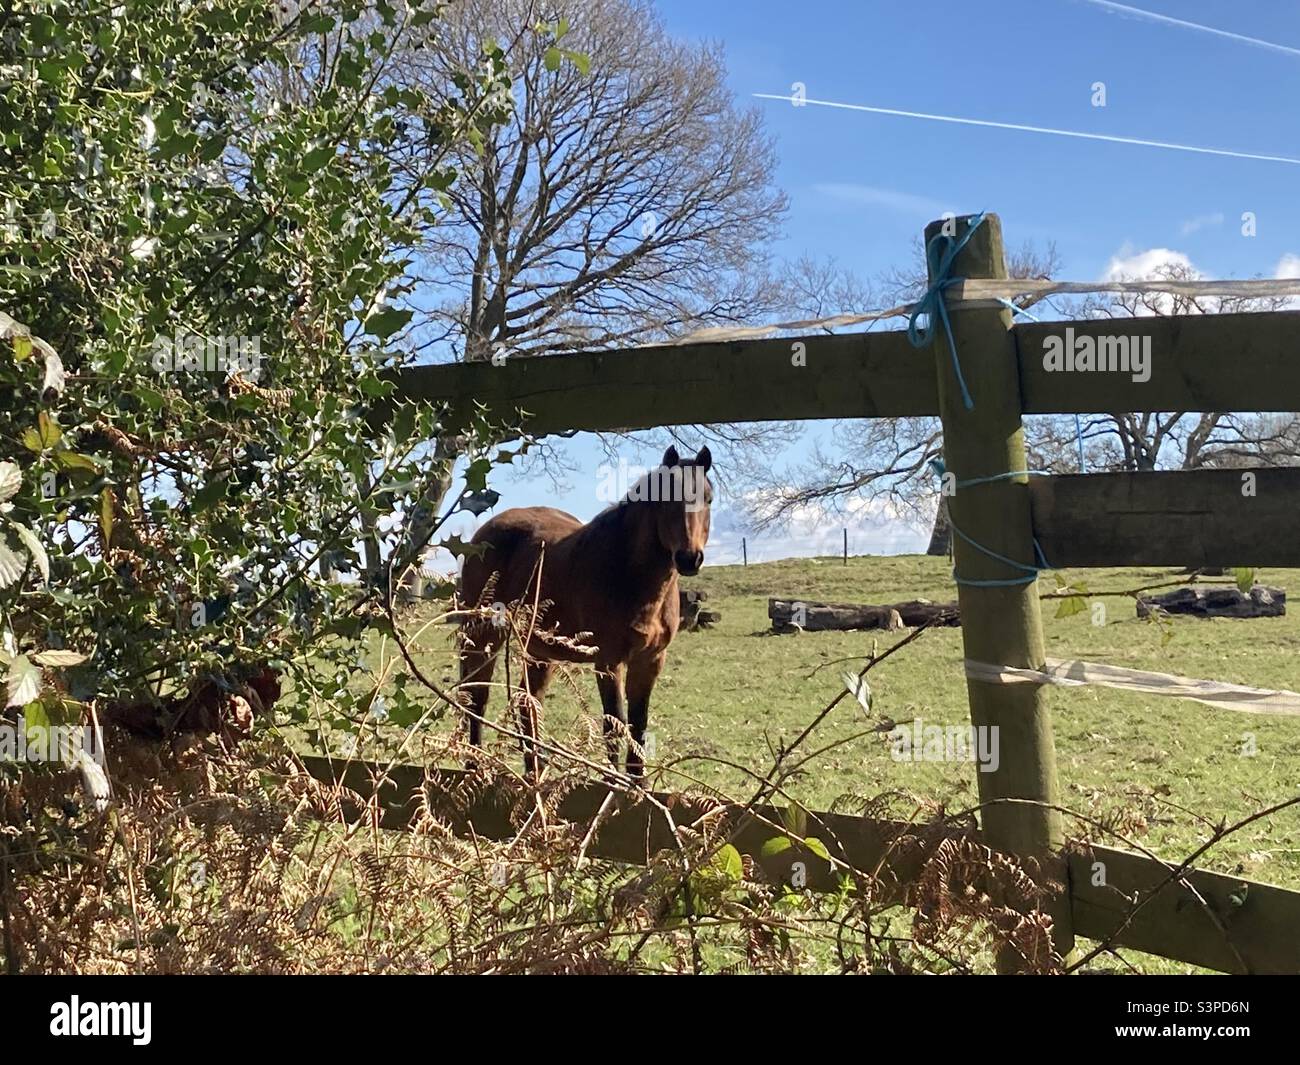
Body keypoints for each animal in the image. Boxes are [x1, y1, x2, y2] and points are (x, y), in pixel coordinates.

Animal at [457, 444, 717, 780]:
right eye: (667, 499)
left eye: (708, 498)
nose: (689, 558)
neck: (628, 571)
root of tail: (483, 535)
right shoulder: (608, 662)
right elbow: (613, 726)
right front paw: (612, 783)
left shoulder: (649, 661)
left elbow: (638, 727)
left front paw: (638, 785)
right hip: (484, 636)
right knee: (476, 699)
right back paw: (474, 768)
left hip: (539, 650)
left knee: (528, 705)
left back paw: (535, 773)